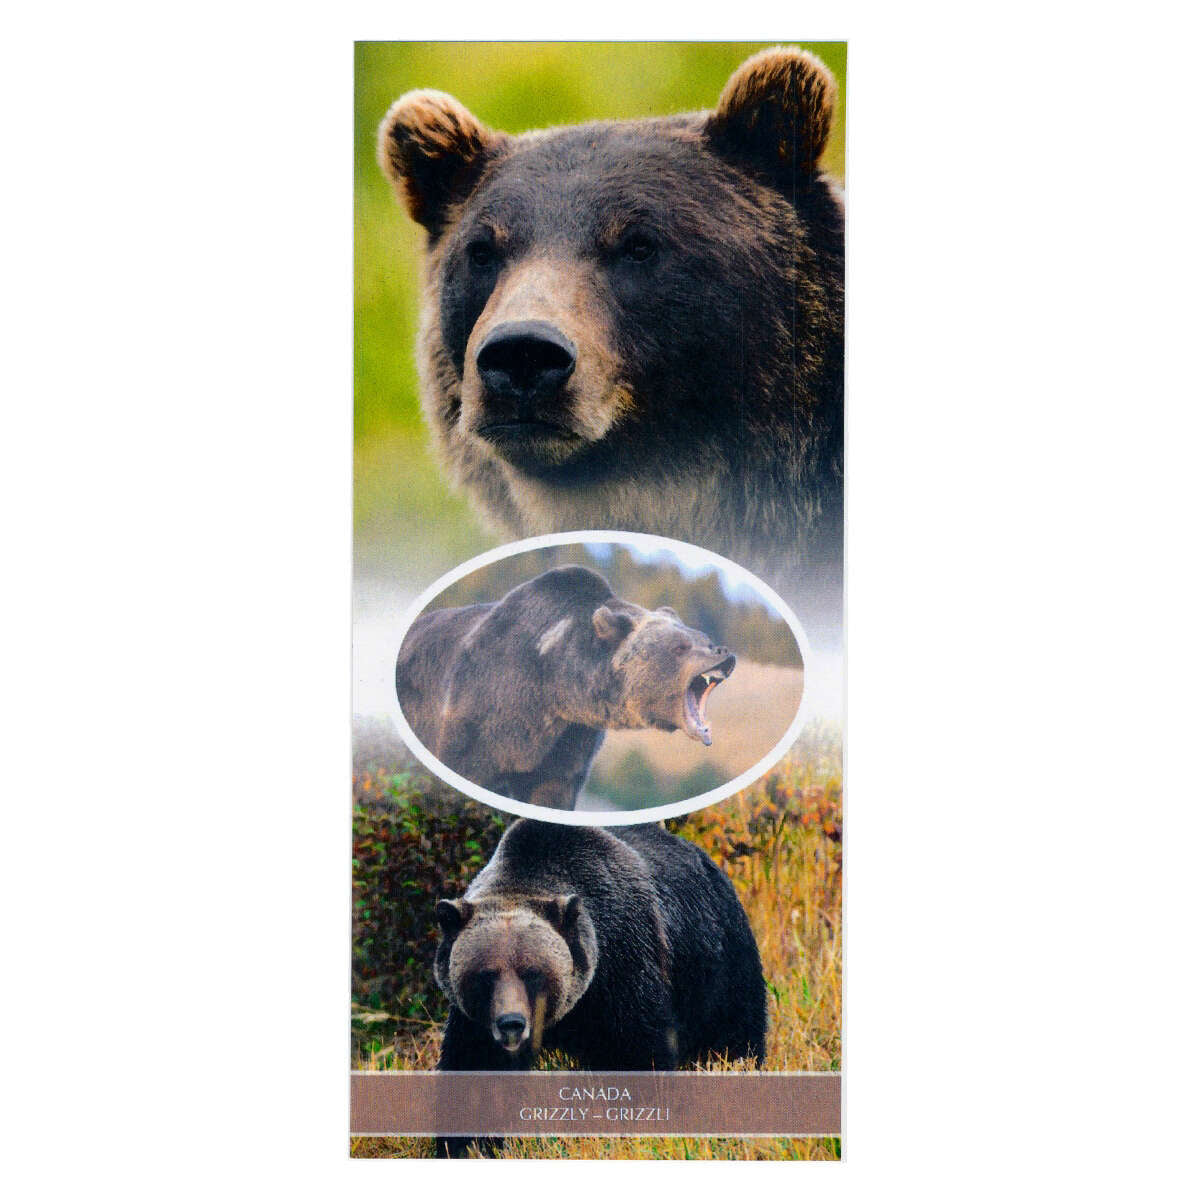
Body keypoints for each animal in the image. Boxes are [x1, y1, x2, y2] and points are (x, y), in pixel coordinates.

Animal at [394, 565, 736, 810]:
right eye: (680, 647)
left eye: (704, 639)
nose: (724, 652)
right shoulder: (477, 715)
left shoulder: (567, 742)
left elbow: (552, 792)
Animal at [433, 817, 768, 1156]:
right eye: (486, 974)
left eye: (532, 973)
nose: (511, 1023)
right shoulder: (476, 1022)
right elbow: (476, 1071)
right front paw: (467, 1145)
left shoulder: (623, 969)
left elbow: (636, 1054)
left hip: (718, 966)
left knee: (734, 1037)